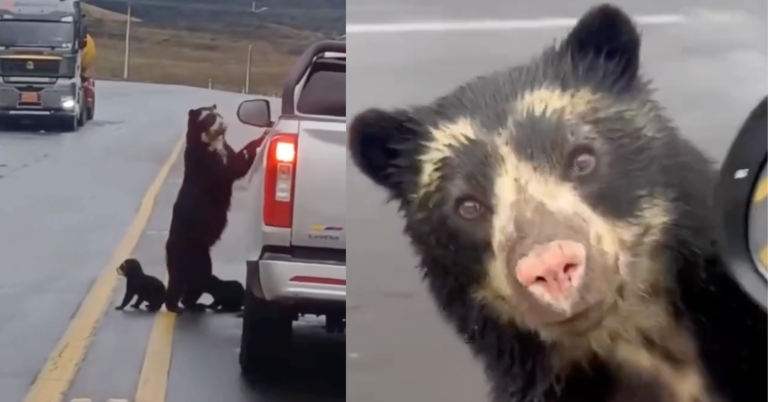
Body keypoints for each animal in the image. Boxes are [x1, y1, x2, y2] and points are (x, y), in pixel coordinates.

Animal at [165, 104, 266, 314]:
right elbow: (231, 170)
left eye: (218, 114)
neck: (211, 142)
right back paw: (174, 305)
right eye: (209, 118)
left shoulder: (225, 149)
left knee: (199, 279)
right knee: (178, 279)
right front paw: (259, 139)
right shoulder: (206, 162)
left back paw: (195, 304)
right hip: (183, 252)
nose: (222, 124)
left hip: (203, 258)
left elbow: (237, 163)